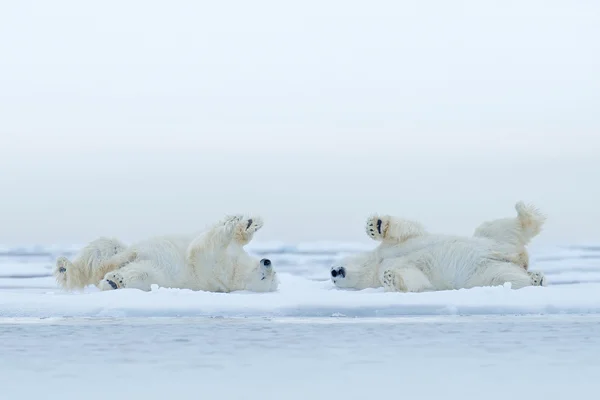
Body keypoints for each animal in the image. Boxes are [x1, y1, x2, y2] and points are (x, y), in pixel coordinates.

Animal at [52, 214, 278, 292]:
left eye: (267, 278)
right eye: (273, 273)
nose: (267, 261)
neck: (235, 270)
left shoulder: (214, 270)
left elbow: (202, 249)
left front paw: (230, 226)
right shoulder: (233, 255)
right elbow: (236, 240)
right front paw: (247, 223)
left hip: (158, 274)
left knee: (140, 272)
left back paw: (114, 280)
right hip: (118, 250)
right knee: (103, 249)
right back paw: (65, 267)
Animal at [330, 202, 548, 292]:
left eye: (333, 265)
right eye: (332, 280)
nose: (333, 271)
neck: (376, 263)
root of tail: (519, 259)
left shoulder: (391, 247)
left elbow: (408, 231)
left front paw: (375, 225)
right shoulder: (389, 266)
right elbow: (415, 278)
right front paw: (391, 277)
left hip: (491, 240)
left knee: (498, 228)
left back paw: (523, 211)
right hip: (485, 273)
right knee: (507, 277)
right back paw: (535, 278)